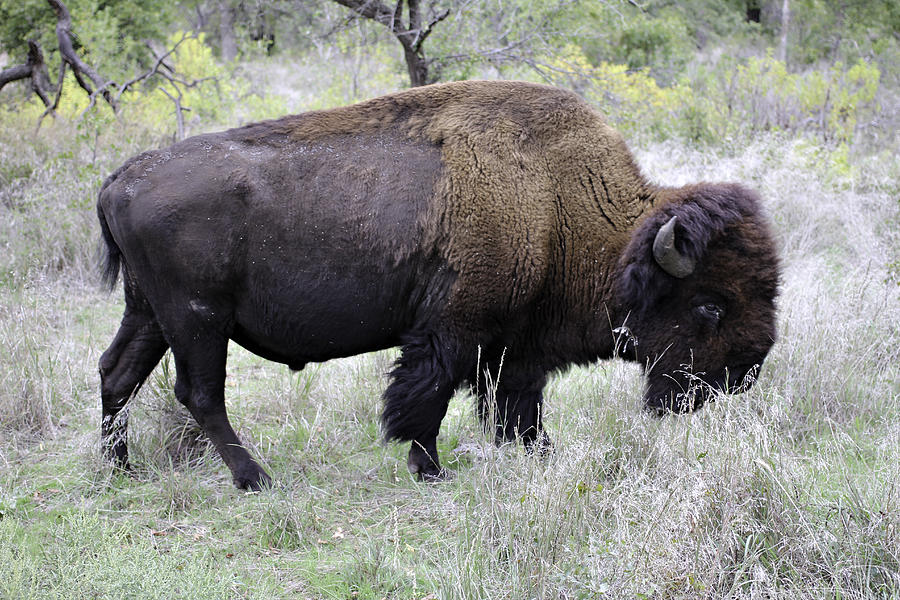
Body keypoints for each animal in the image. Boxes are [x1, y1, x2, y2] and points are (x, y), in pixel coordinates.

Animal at [95, 79, 776, 490]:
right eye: (710, 306)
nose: (744, 374)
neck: (557, 201)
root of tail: (120, 179)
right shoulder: (455, 327)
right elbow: (428, 396)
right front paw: (429, 469)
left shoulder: (516, 344)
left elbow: (517, 405)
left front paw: (540, 454)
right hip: (197, 319)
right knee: (198, 393)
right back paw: (254, 478)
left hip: (151, 313)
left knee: (117, 373)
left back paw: (119, 469)